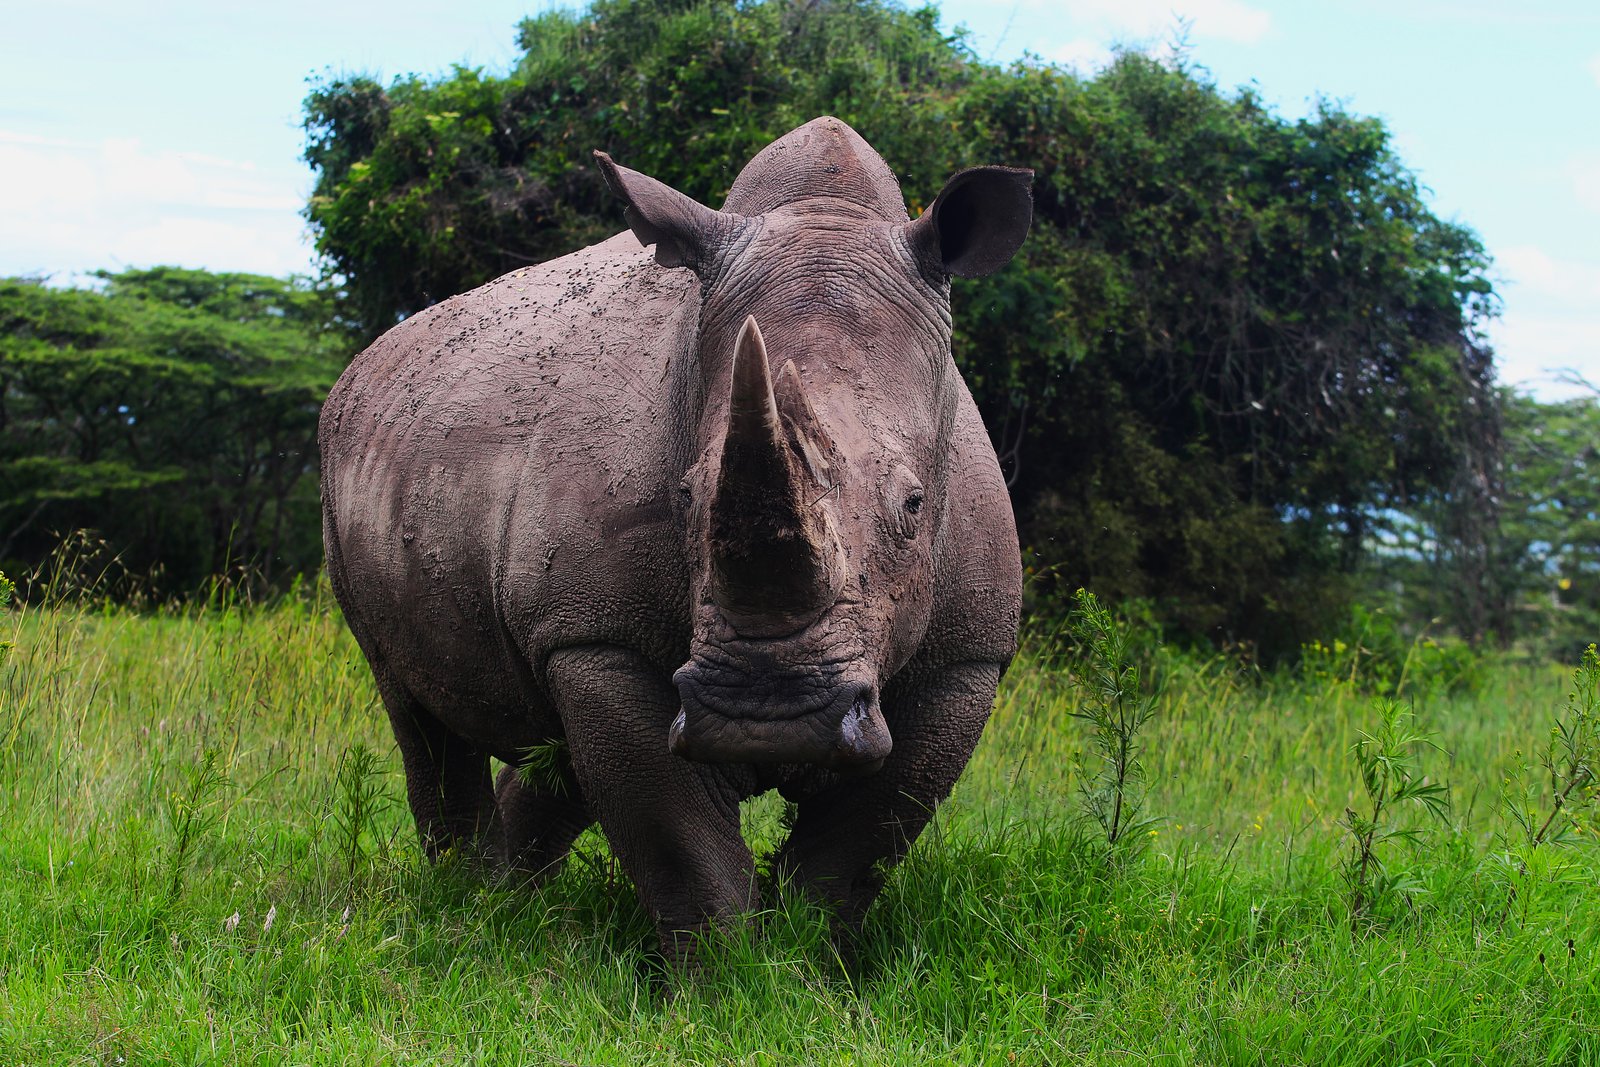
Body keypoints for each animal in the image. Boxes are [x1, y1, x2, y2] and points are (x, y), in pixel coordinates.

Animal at [319, 117, 1030, 961]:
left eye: (915, 505)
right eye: (685, 496)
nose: (770, 713)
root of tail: (365, 361)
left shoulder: (967, 655)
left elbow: (854, 850)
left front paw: (806, 968)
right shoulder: (596, 633)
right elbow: (680, 843)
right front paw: (724, 978)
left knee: (550, 753)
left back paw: (506, 905)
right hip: (352, 469)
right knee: (415, 709)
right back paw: (466, 910)